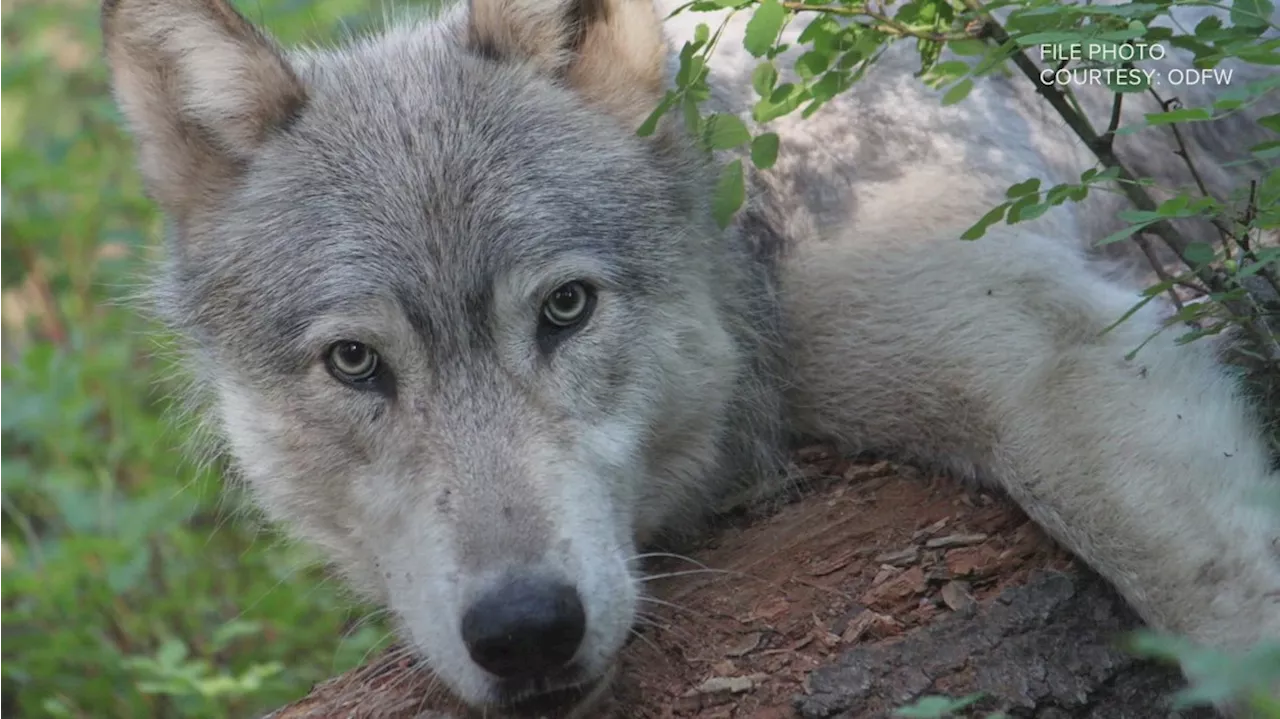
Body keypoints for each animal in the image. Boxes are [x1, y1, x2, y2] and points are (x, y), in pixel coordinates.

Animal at [102, 0, 1280, 711]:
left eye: (565, 307)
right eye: (355, 363)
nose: (524, 631)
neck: (755, 206)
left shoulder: (1036, 347)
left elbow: (1225, 612)